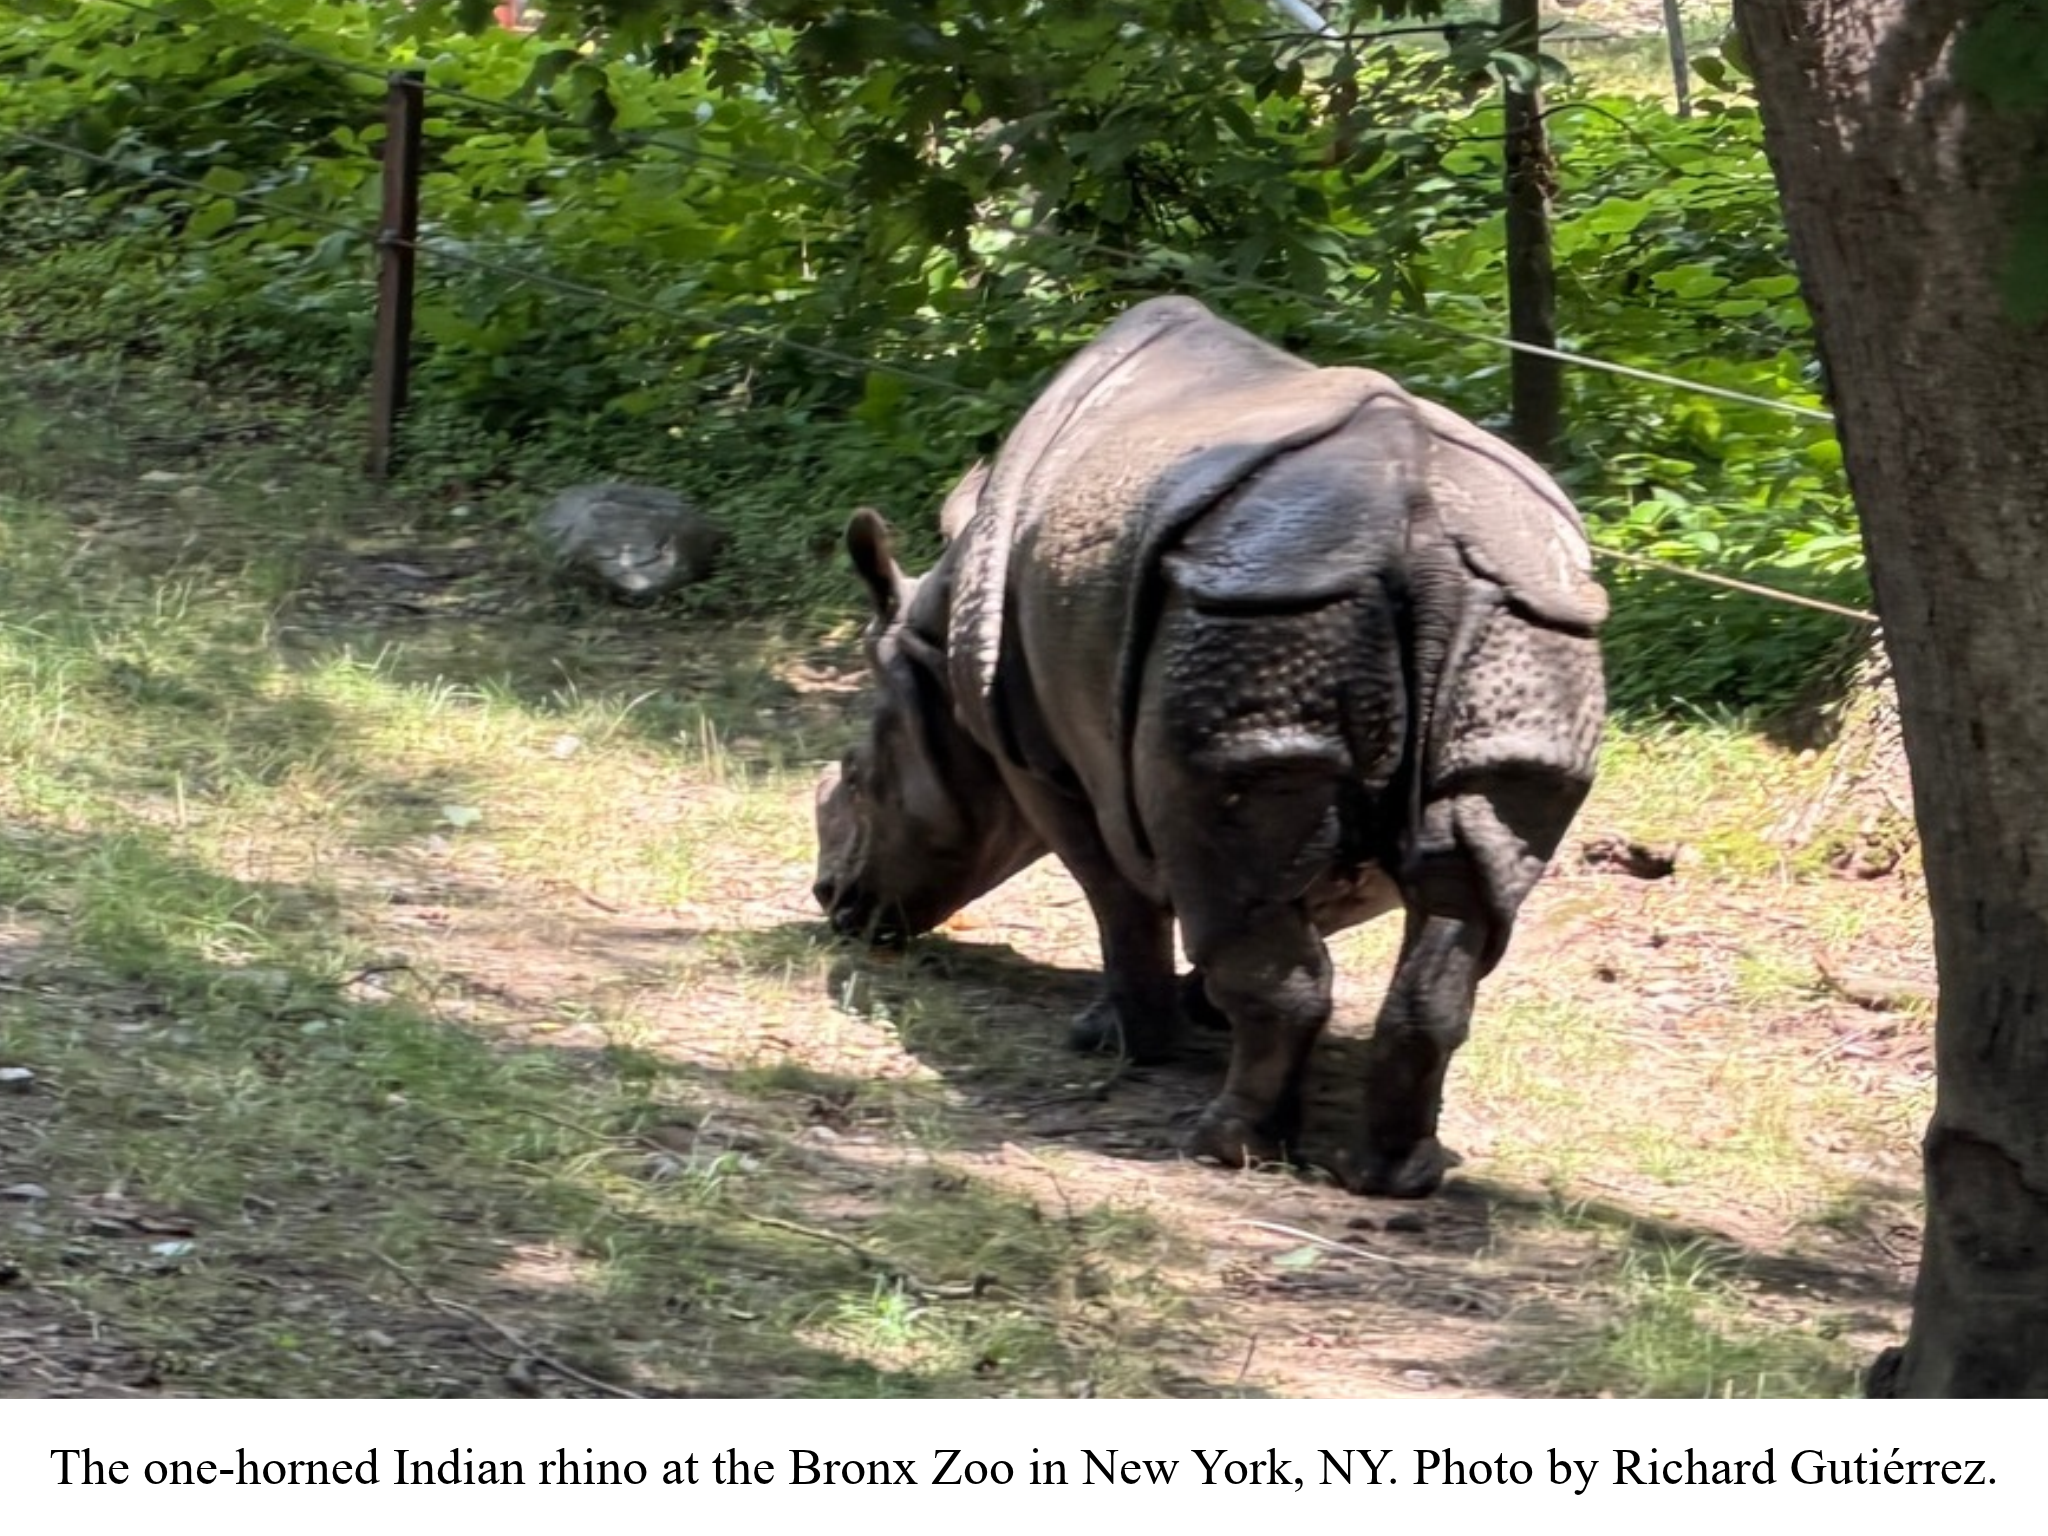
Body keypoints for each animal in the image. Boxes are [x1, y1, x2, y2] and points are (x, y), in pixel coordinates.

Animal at [814, 297, 1606, 1197]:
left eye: (854, 777)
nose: (831, 900)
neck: (933, 647)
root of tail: (1424, 530)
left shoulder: (1040, 759)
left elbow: (1118, 895)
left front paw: (1119, 1039)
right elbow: (1284, 905)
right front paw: (1195, 1014)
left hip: (1259, 606)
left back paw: (1226, 1149)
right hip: (1523, 622)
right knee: (1460, 897)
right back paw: (1394, 1175)